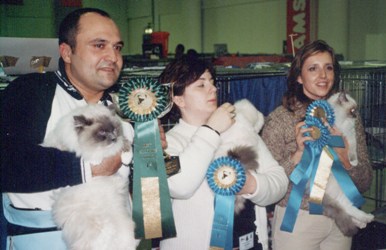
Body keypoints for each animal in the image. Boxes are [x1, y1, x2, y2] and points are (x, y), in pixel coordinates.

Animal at [41, 104, 136, 250]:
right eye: (102, 133)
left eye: (114, 129)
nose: (113, 138)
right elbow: (85, 155)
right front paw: (95, 161)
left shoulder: (121, 143)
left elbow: (125, 146)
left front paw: (125, 158)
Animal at [320, 91, 374, 235]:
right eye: (353, 110)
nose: (356, 116)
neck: (343, 122)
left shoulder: (351, 140)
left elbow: (352, 156)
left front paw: (353, 164)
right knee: (346, 207)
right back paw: (367, 218)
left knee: (347, 209)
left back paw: (364, 222)